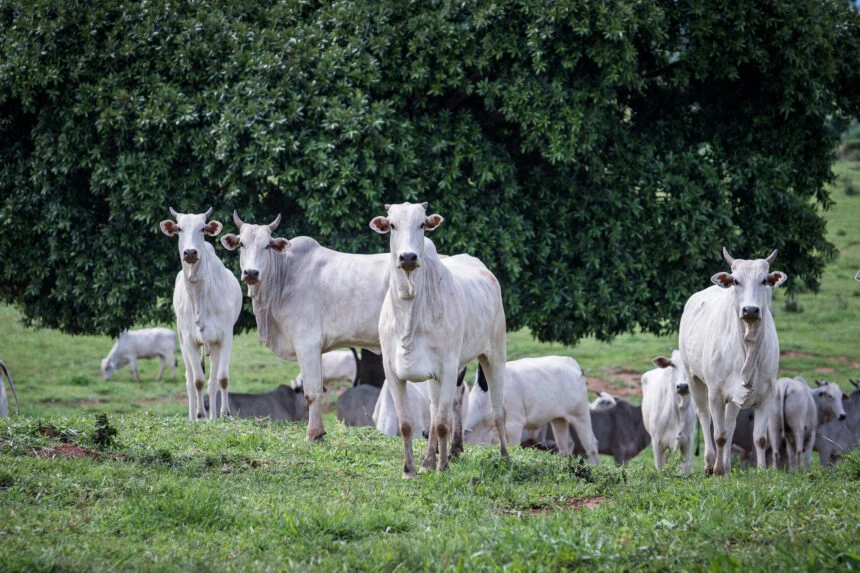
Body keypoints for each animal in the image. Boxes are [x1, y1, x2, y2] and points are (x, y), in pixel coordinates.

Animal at [160, 208, 242, 418]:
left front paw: (224, 414)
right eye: (179, 228)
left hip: (213, 345)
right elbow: (197, 380)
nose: (190, 252)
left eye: (202, 228)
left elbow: (222, 378)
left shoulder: (224, 336)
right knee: (190, 380)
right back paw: (193, 417)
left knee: (213, 382)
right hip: (182, 340)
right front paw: (200, 415)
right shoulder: (189, 340)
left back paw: (214, 415)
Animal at [220, 212, 392, 440]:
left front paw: (314, 435)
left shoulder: (307, 343)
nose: (251, 273)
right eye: (241, 244)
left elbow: (312, 392)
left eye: (267, 245)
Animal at [464, 356, 596, 462]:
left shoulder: (514, 424)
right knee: (564, 445)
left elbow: (513, 446)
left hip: (581, 415)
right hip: (559, 419)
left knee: (591, 445)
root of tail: (574, 363)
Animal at [680, 246, 788, 474]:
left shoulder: (768, 394)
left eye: (764, 280)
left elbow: (760, 438)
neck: (747, 347)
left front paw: (762, 471)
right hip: (694, 378)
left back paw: (727, 465)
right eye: (736, 281)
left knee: (730, 424)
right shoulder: (715, 393)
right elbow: (719, 435)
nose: (750, 310)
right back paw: (710, 463)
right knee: (704, 416)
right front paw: (717, 470)